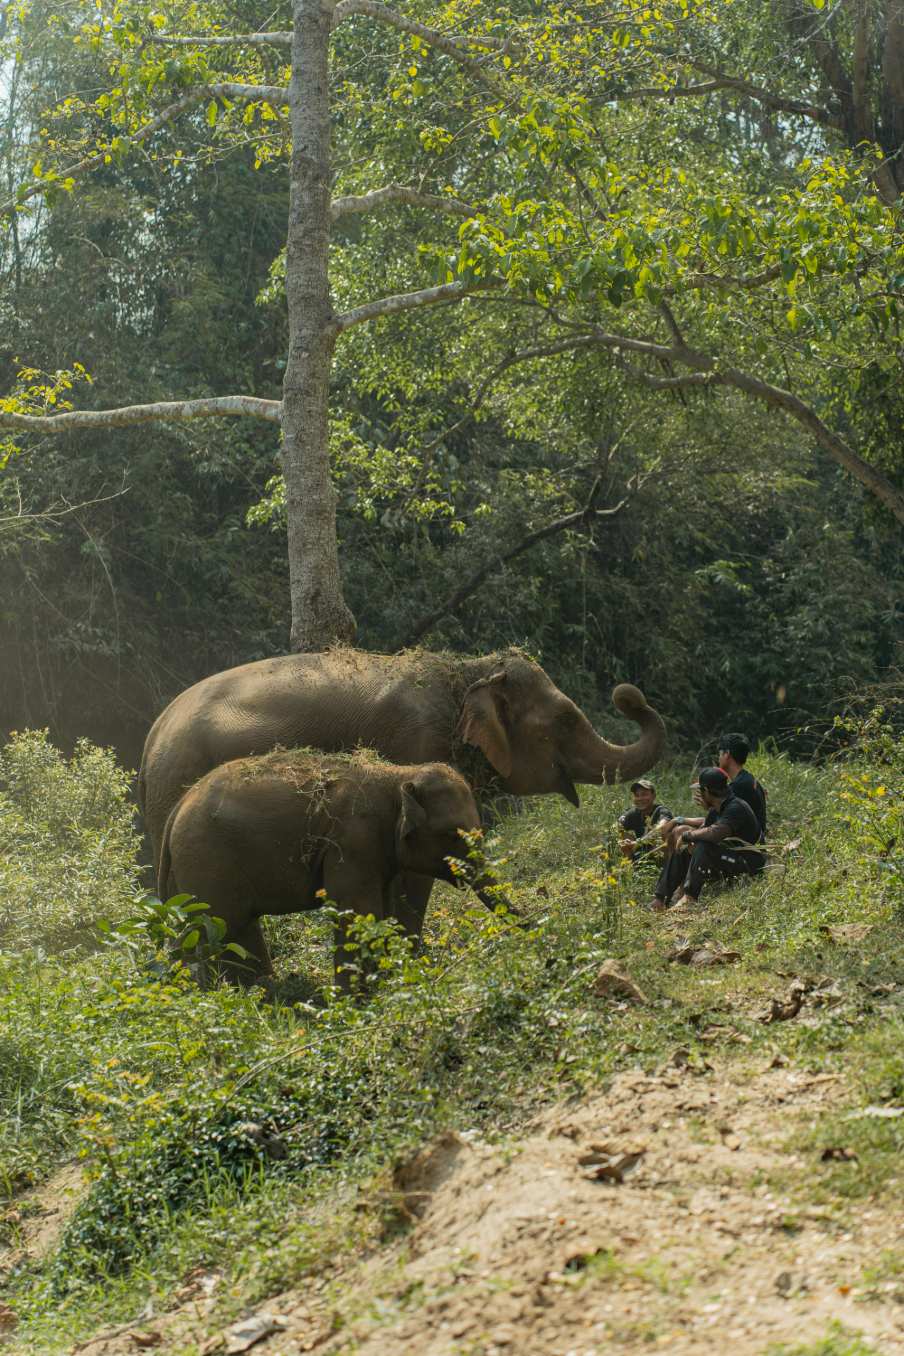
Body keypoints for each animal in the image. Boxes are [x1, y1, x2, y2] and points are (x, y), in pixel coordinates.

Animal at [139, 647, 665, 936]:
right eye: (566, 720)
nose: (630, 694)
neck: (466, 671)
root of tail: (152, 736)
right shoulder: (418, 740)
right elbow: (414, 872)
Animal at [156, 750, 492, 985]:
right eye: (452, 834)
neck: (397, 775)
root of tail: (179, 805)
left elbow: (381, 910)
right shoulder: (352, 841)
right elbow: (358, 910)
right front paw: (357, 999)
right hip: (206, 861)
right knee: (219, 928)